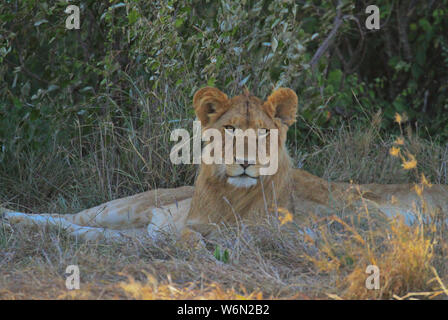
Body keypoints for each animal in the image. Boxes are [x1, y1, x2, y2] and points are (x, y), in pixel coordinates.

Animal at [0, 86, 448, 241]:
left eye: (264, 133)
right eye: (230, 129)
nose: (246, 162)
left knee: (78, 227)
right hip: (122, 208)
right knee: (68, 217)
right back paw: (12, 219)